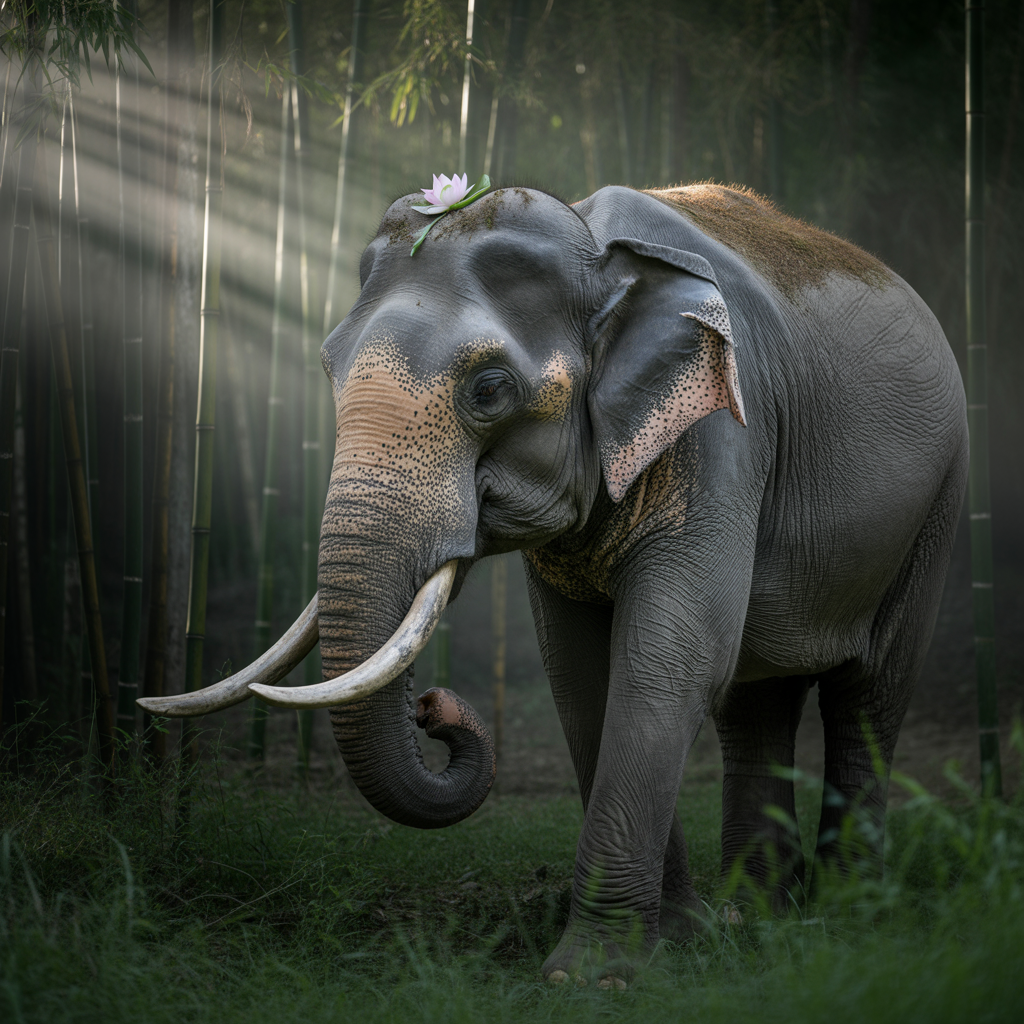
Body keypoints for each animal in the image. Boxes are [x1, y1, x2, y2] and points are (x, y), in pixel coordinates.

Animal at [141, 182, 968, 986]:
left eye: (489, 389)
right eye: (326, 367)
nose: (434, 708)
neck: (597, 251)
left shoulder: (726, 436)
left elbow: (669, 661)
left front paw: (593, 974)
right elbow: (580, 675)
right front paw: (673, 939)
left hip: (938, 504)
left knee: (868, 694)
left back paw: (851, 907)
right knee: (755, 701)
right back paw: (752, 915)